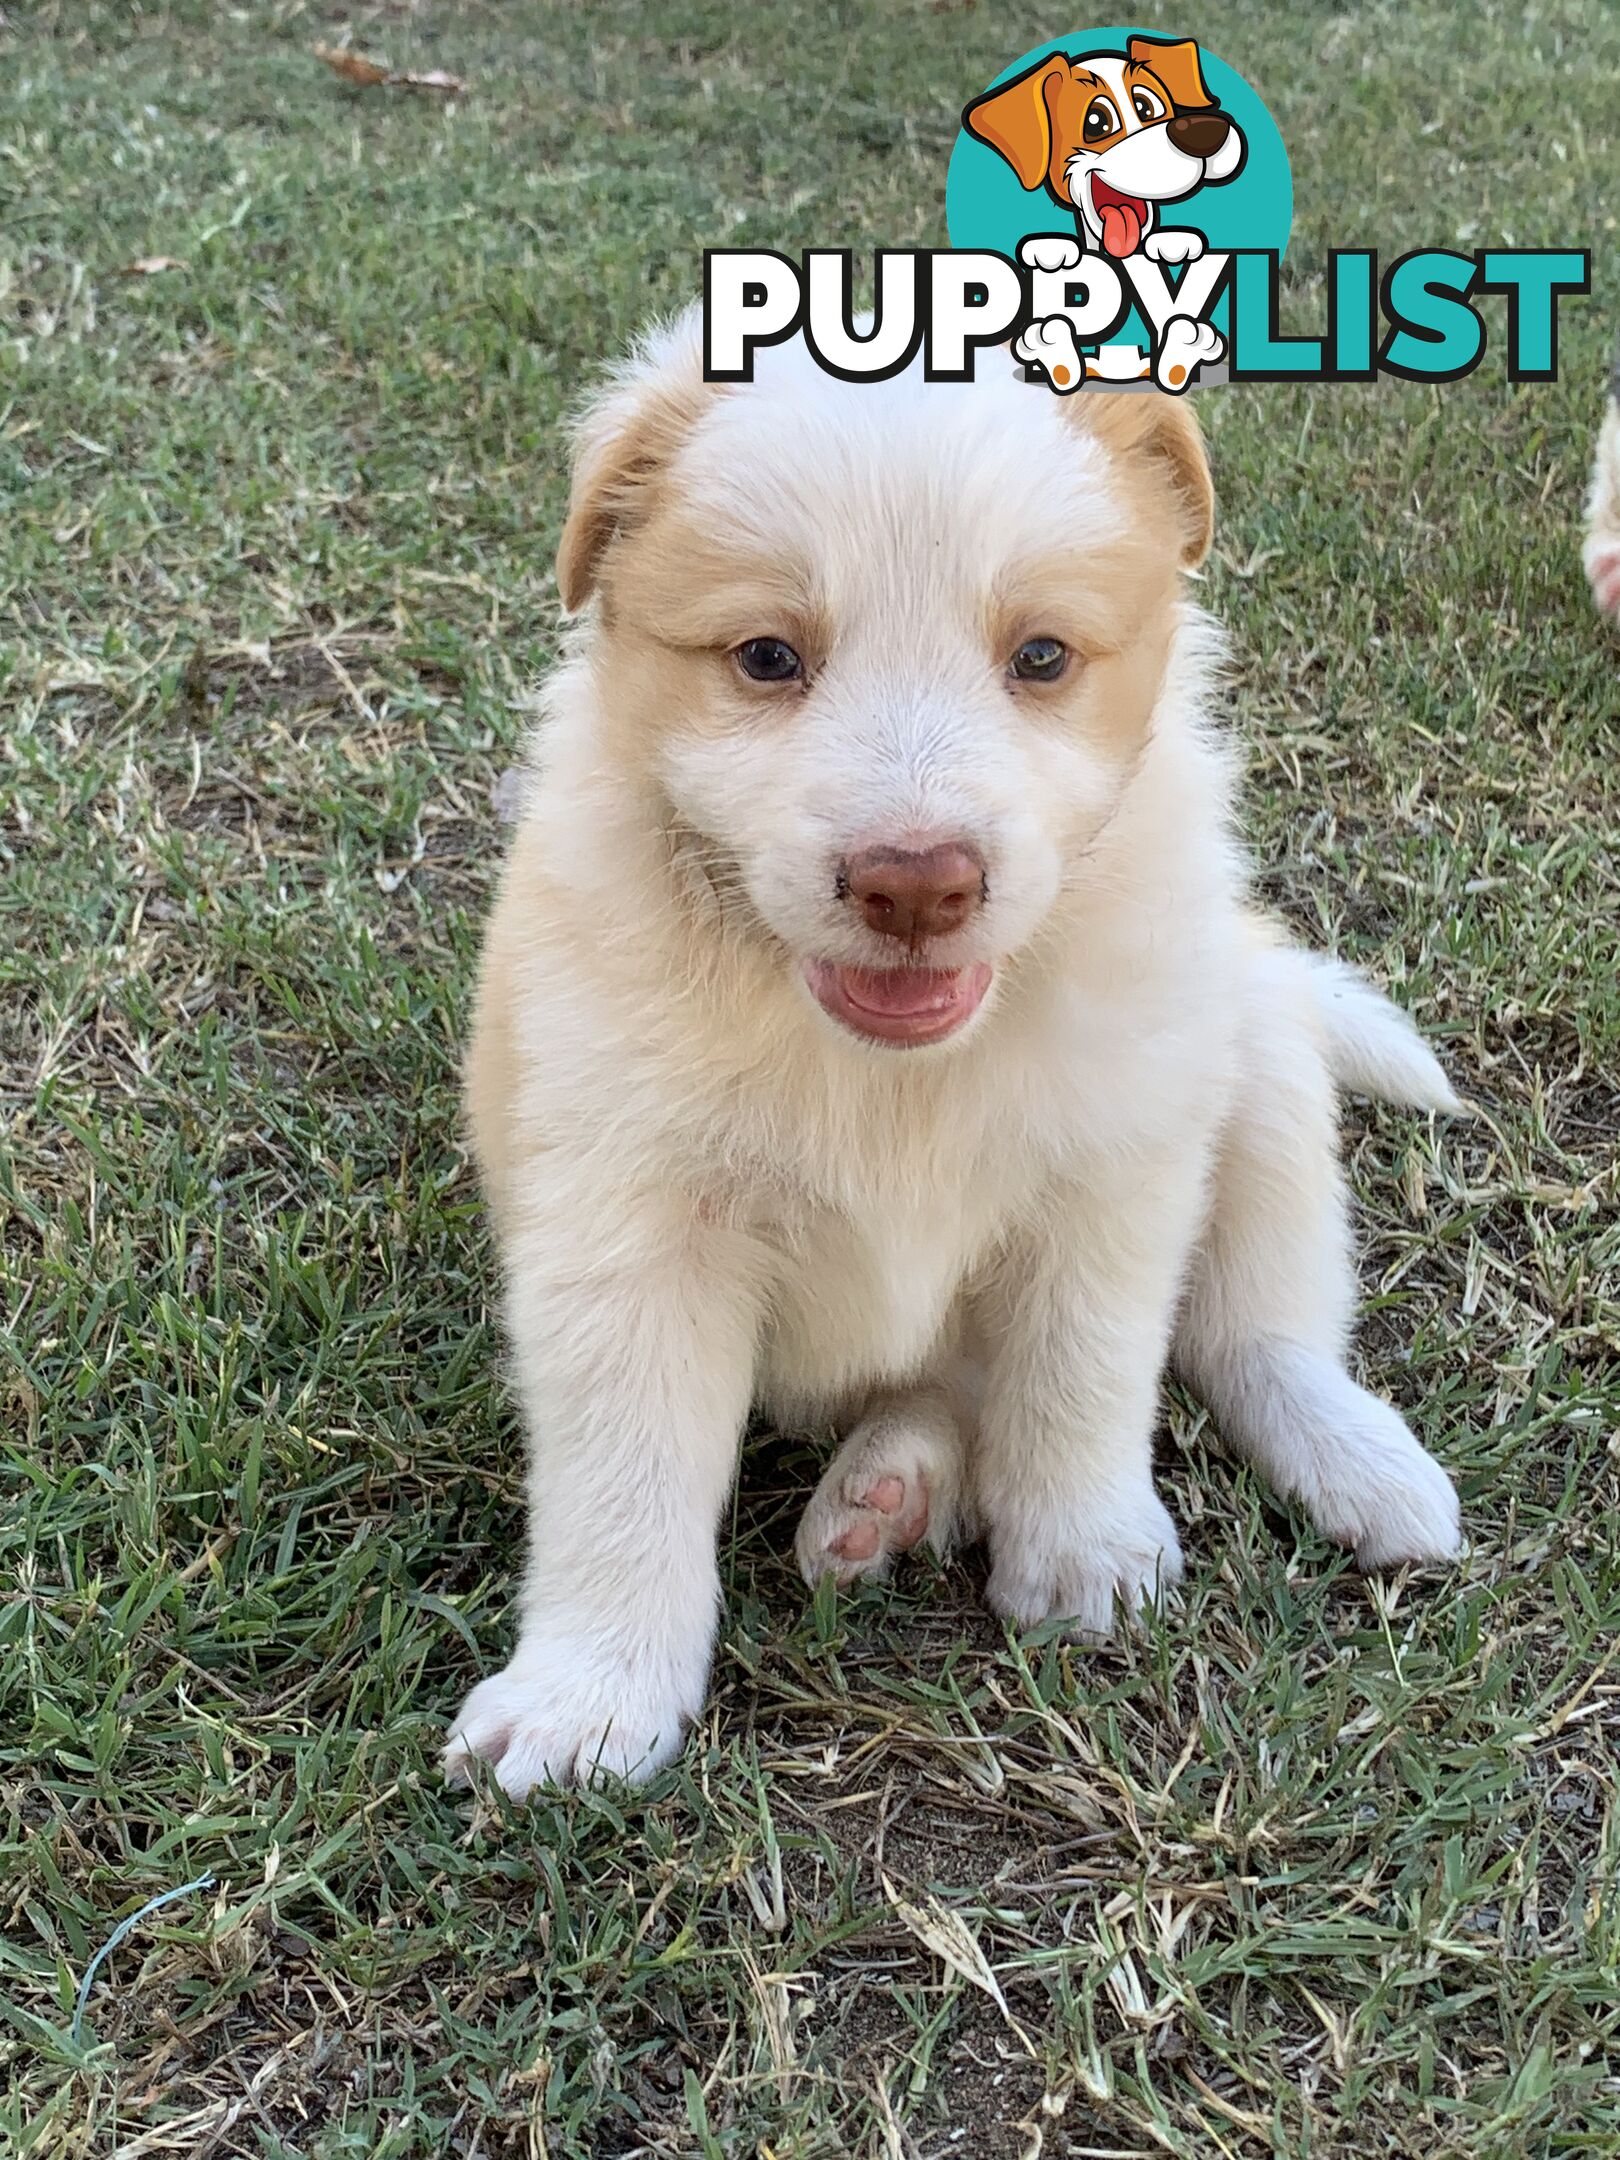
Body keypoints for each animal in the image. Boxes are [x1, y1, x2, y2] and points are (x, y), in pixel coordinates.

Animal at [447, 313, 1468, 1797]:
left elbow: (1083, 1370)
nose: (916, 883)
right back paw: (888, 1493)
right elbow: (624, 1474)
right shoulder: (628, 1219)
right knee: (943, 1394)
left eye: (1040, 658)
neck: (889, 1070)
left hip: (1259, 1051)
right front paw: (590, 1697)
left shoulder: (1112, 1168)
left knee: (1256, 1329)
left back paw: (1358, 1463)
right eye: (767, 657)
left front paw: (1085, 1554)